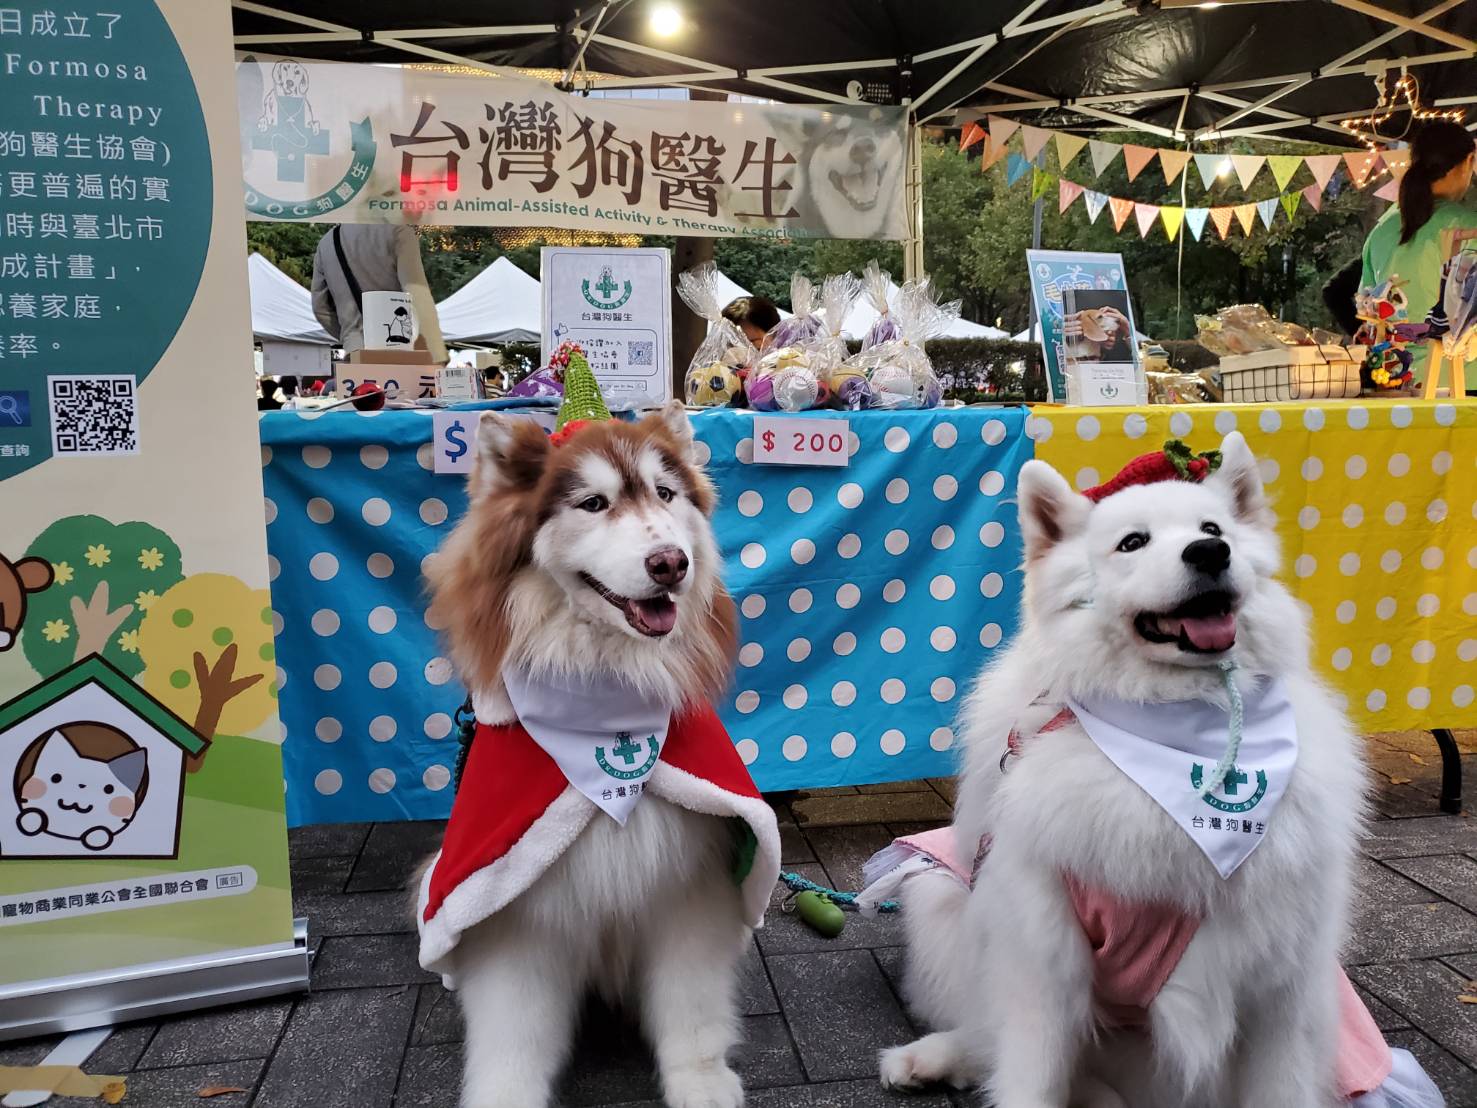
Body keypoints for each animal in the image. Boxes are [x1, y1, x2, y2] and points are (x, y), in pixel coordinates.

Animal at [416, 404, 779, 1108]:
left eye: (665, 495)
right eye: (592, 503)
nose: (670, 564)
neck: (605, 694)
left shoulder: (688, 883)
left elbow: (690, 1003)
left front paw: (700, 1081)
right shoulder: (512, 903)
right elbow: (514, 1031)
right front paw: (505, 1095)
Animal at [862, 434, 1441, 1108]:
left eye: (1212, 529)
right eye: (1132, 542)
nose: (1211, 552)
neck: (1181, 726)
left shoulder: (1283, 985)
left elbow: (1281, 1086)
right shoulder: (1043, 963)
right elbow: (1030, 1077)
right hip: (942, 898)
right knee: (987, 1037)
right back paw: (925, 1058)